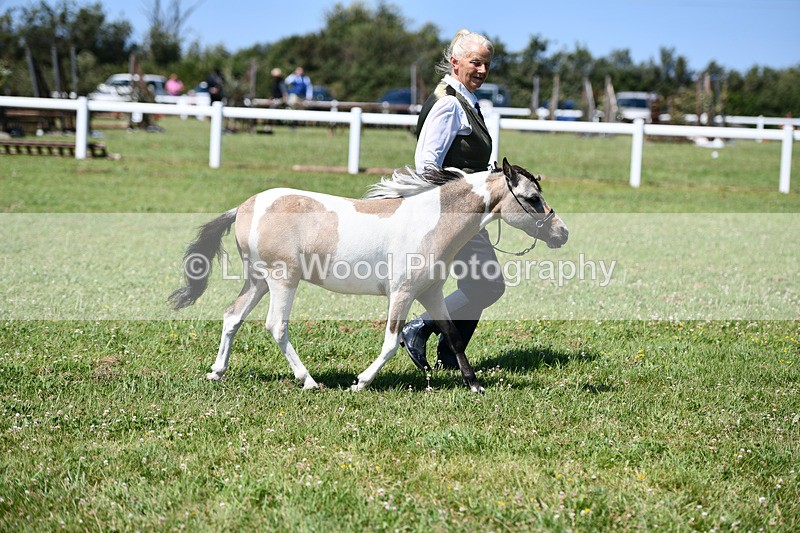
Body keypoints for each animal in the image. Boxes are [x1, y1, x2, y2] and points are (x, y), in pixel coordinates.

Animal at [169, 158, 568, 393]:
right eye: (532, 198)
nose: (561, 233)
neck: (432, 222)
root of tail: (244, 207)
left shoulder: (431, 292)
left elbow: (454, 336)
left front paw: (474, 386)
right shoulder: (402, 293)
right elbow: (391, 342)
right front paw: (360, 383)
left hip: (258, 280)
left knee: (232, 317)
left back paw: (216, 372)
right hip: (283, 279)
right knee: (276, 327)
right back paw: (309, 382)